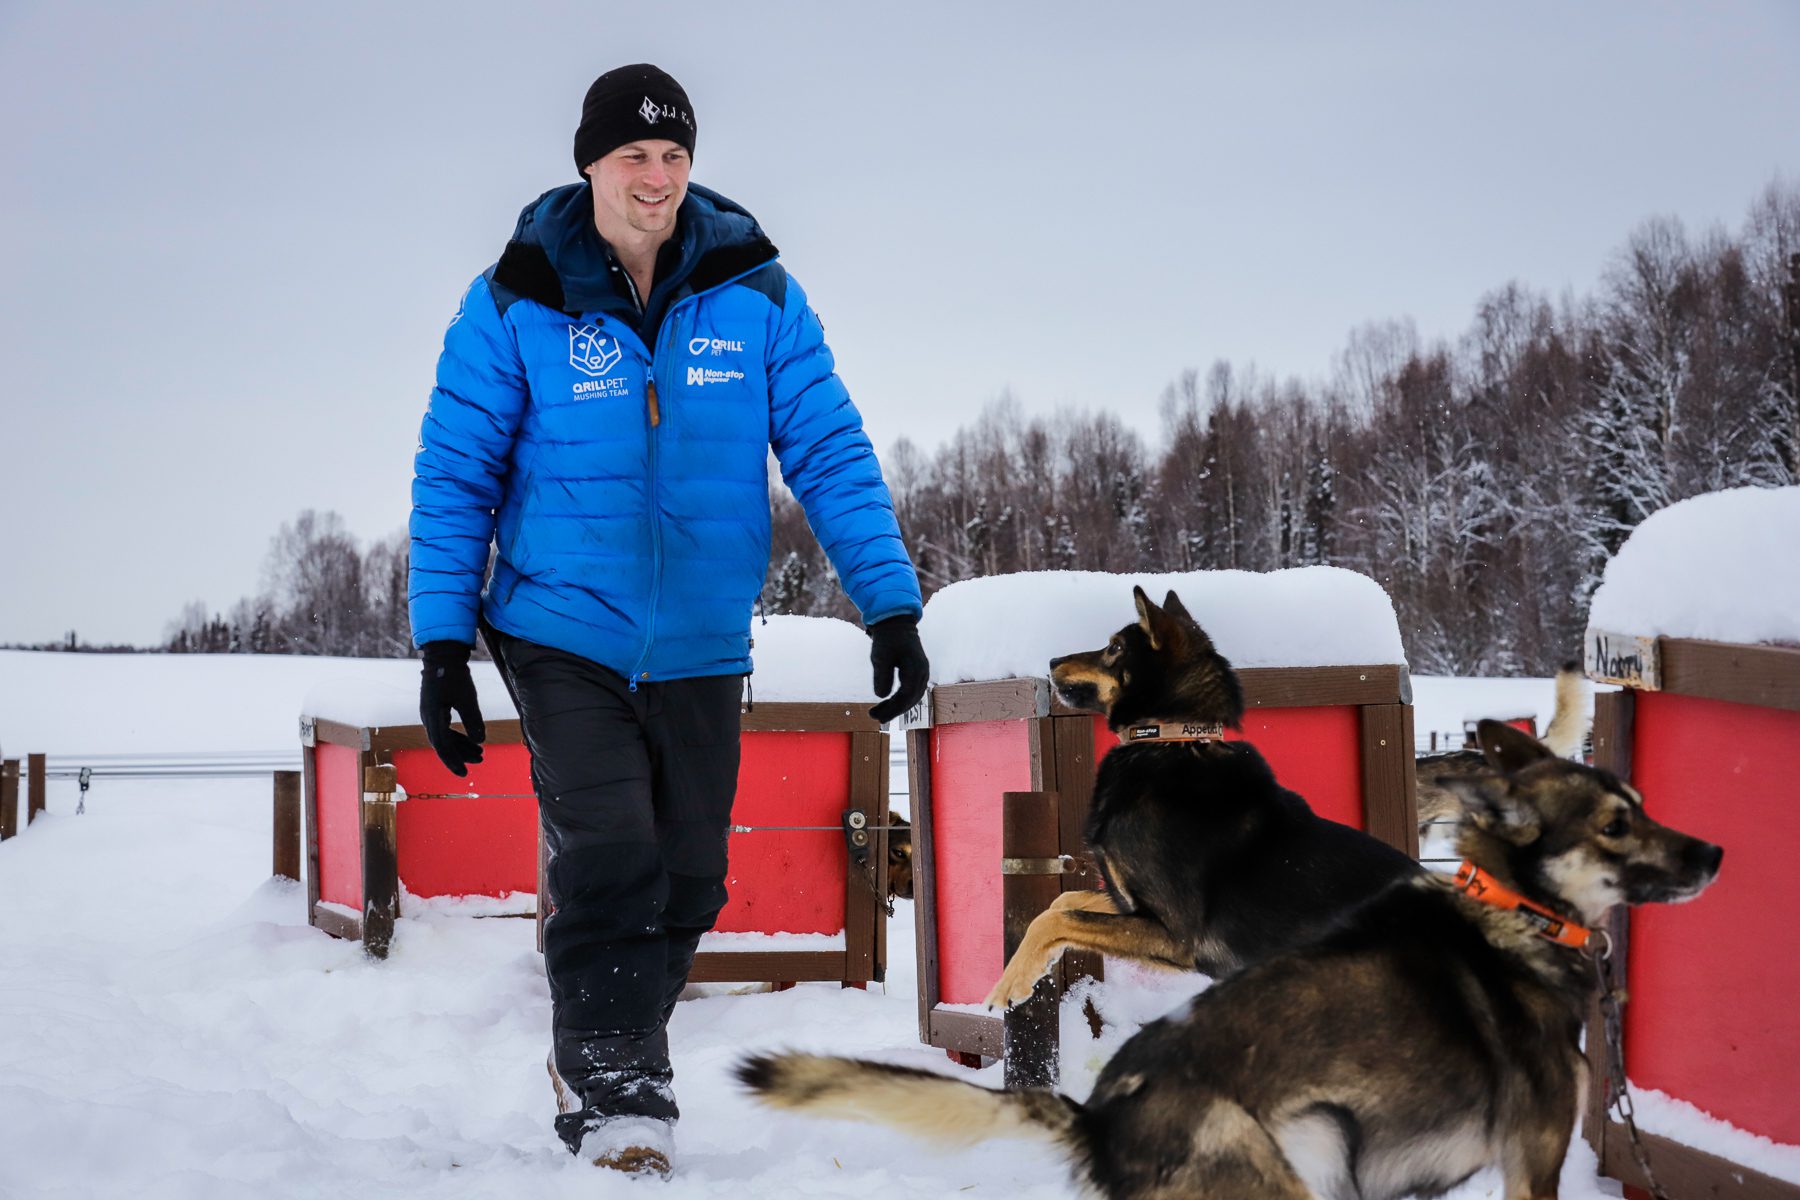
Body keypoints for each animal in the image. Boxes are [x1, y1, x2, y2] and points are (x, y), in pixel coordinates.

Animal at [738, 597, 1720, 1194]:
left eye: (1112, 647)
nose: (1051, 656)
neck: (1176, 739)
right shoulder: (1132, 913)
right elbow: (1054, 911)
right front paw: (1015, 977)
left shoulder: (1172, 934)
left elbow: (1054, 916)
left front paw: (1008, 985)